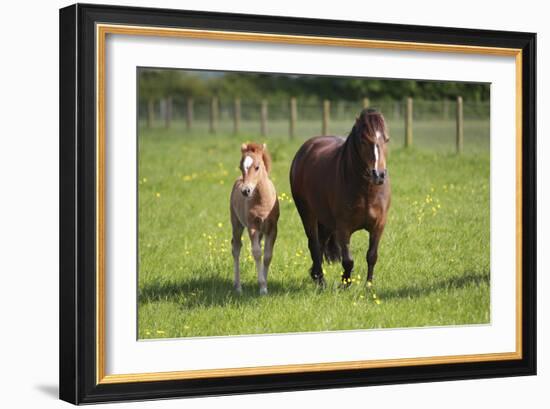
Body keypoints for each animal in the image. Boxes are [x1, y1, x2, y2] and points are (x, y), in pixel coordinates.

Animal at [230, 143, 280, 294]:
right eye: (241, 167)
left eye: (257, 167)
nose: (246, 191)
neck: (262, 201)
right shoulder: (252, 227)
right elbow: (257, 253)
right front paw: (262, 287)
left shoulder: (272, 229)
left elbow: (268, 255)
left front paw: (265, 284)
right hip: (237, 224)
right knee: (236, 248)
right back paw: (238, 287)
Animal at [288, 108, 392, 286]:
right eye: (363, 140)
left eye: (386, 139)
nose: (378, 175)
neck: (367, 191)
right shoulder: (344, 227)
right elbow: (348, 260)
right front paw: (345, 284)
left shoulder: (379, 225)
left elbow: (372, 256)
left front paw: (368, 285)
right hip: (307, 214)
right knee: (314, 244)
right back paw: (320, 280)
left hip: (326, 220)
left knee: (321, 243)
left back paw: (316, 275)